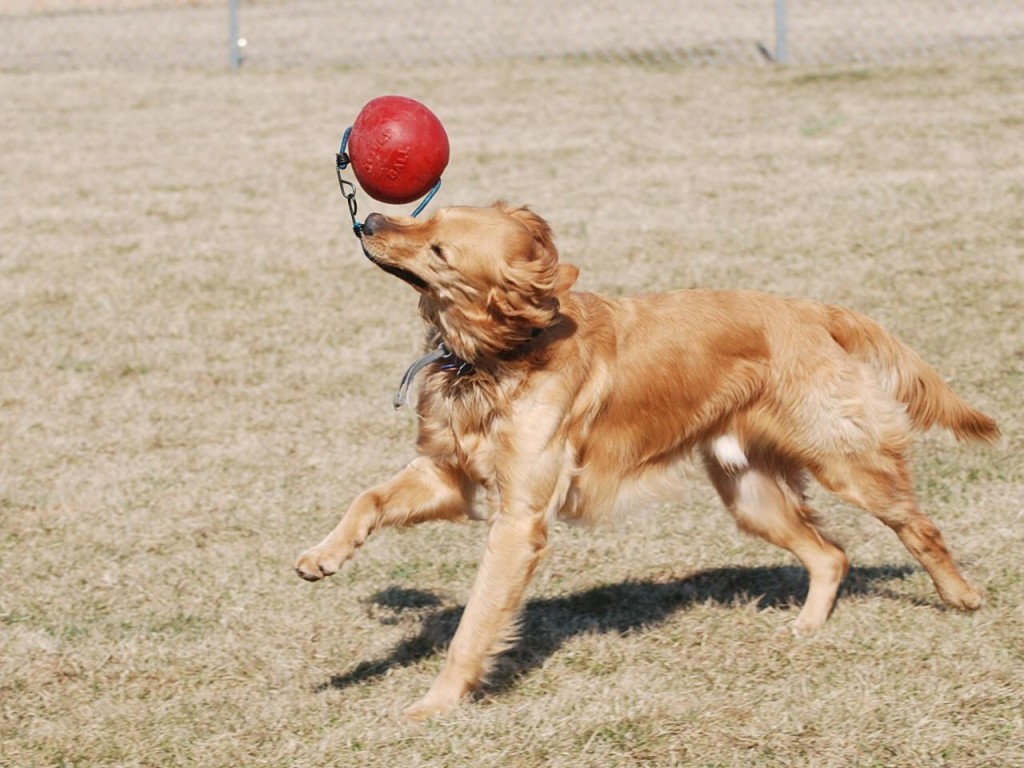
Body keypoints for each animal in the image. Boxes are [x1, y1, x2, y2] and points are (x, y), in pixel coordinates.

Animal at [296, 201, 999, 720]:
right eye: (429, 212)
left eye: (440, 249)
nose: (369, 221)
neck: (499, 357)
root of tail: (810, 311)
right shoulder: (448, 476)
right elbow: (367, 498)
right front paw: (322, 556)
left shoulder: (518, 519)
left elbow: (473, 624)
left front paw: (438, 703)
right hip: (751, 494)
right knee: (832, 555)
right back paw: (805, 628)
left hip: (845, 463)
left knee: (918, 527)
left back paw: (962, 597)